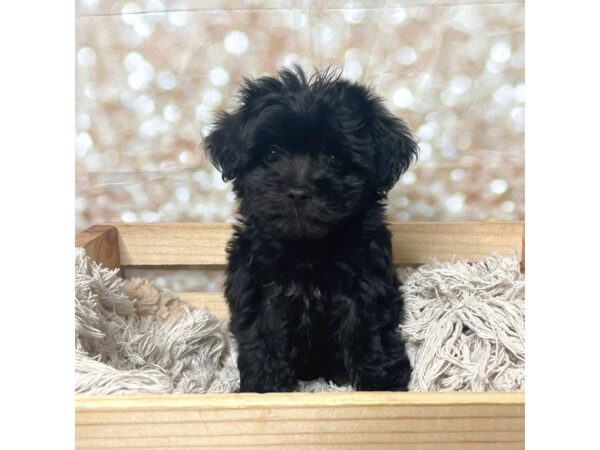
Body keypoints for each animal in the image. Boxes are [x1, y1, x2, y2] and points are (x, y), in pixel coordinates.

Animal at [202, 65, 418, 392]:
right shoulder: (255, 286)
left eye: (335, 159)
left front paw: (380, 380)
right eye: (271, 155)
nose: (299, 191)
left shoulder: (367, 283)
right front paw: (265, 385)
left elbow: (368, 328)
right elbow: (261, 331)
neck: (308, 249)